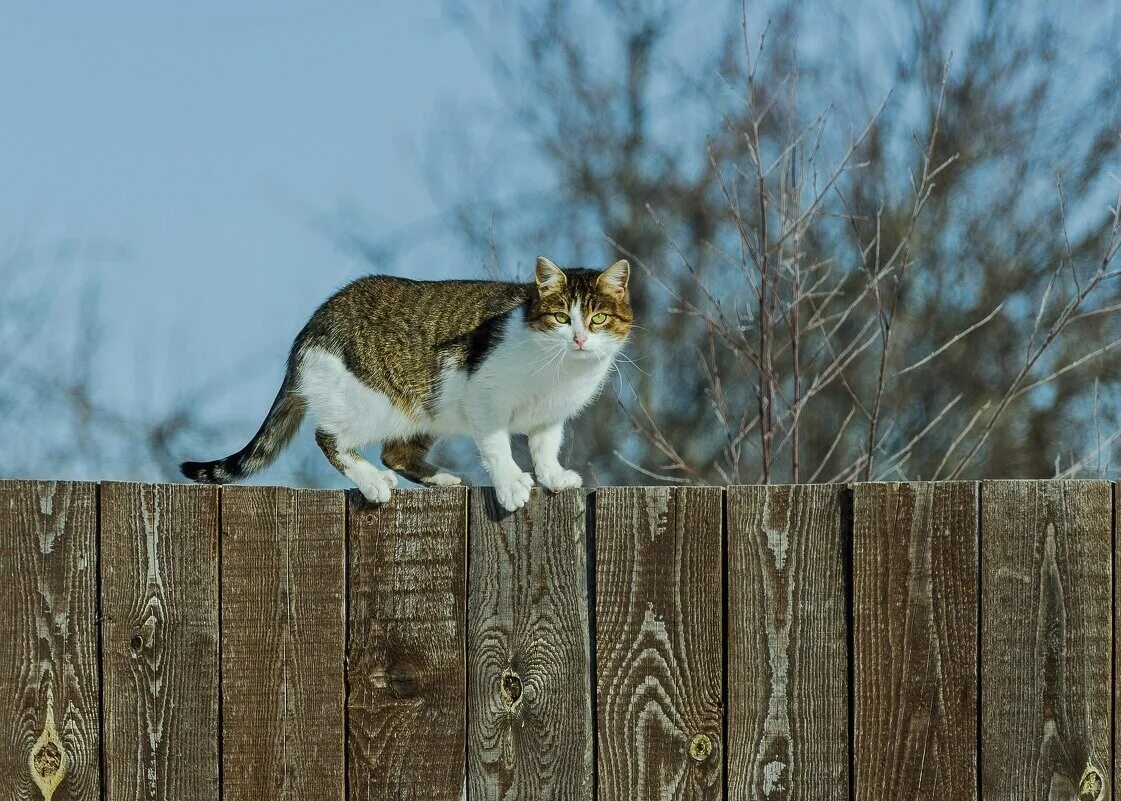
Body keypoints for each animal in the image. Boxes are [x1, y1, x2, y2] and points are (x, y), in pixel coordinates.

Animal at [179, 256, 627, 510]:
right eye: (561, 317)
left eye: (599, 319)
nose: (579, 339)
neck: (561, 371)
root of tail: (313, 324)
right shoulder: (485, 400)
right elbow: (498, 447)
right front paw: (512, 484)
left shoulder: (550, 416)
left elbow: (545, 447)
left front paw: (553, 477)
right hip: (376, 403)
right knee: (330, 438)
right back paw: (374, 483)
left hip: (427, 410)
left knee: (395, 452)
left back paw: (443, 479)